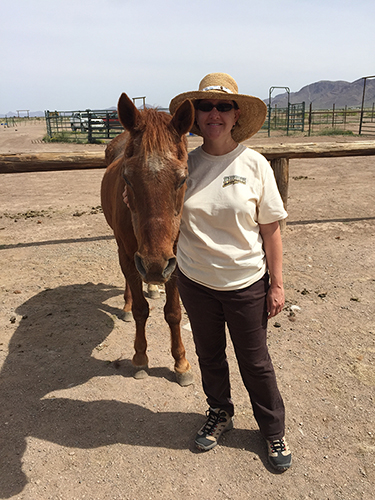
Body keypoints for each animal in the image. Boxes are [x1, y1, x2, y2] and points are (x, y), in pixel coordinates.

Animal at [100, 93, 194, 386]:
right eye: (127, 178)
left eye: (182, 179)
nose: (153, 264)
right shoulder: (132, 255)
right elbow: (142, 310)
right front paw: (140, 358)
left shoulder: (174, 260)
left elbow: (174, 312)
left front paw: (181, 364)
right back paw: (128, 304)